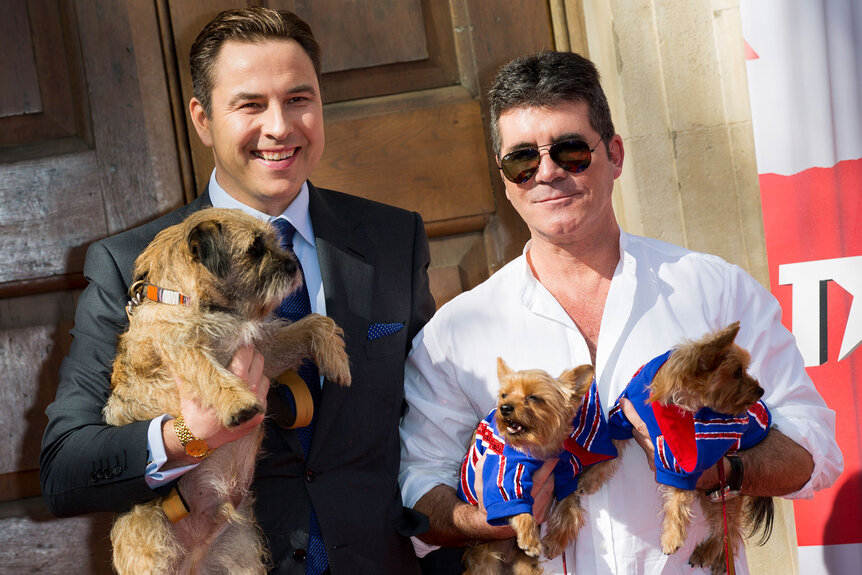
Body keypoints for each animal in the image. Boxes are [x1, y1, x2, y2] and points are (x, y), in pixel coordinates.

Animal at [104, 208, 352, 575]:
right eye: (255, 249)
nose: (293, 266)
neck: (196, 302)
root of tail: (192, 559)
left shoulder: (265, 352)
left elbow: (314, 322)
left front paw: (336, 357)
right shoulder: (184, 349)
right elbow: (210, 375)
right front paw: (239, 404)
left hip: (241, 556)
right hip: (152, 552)